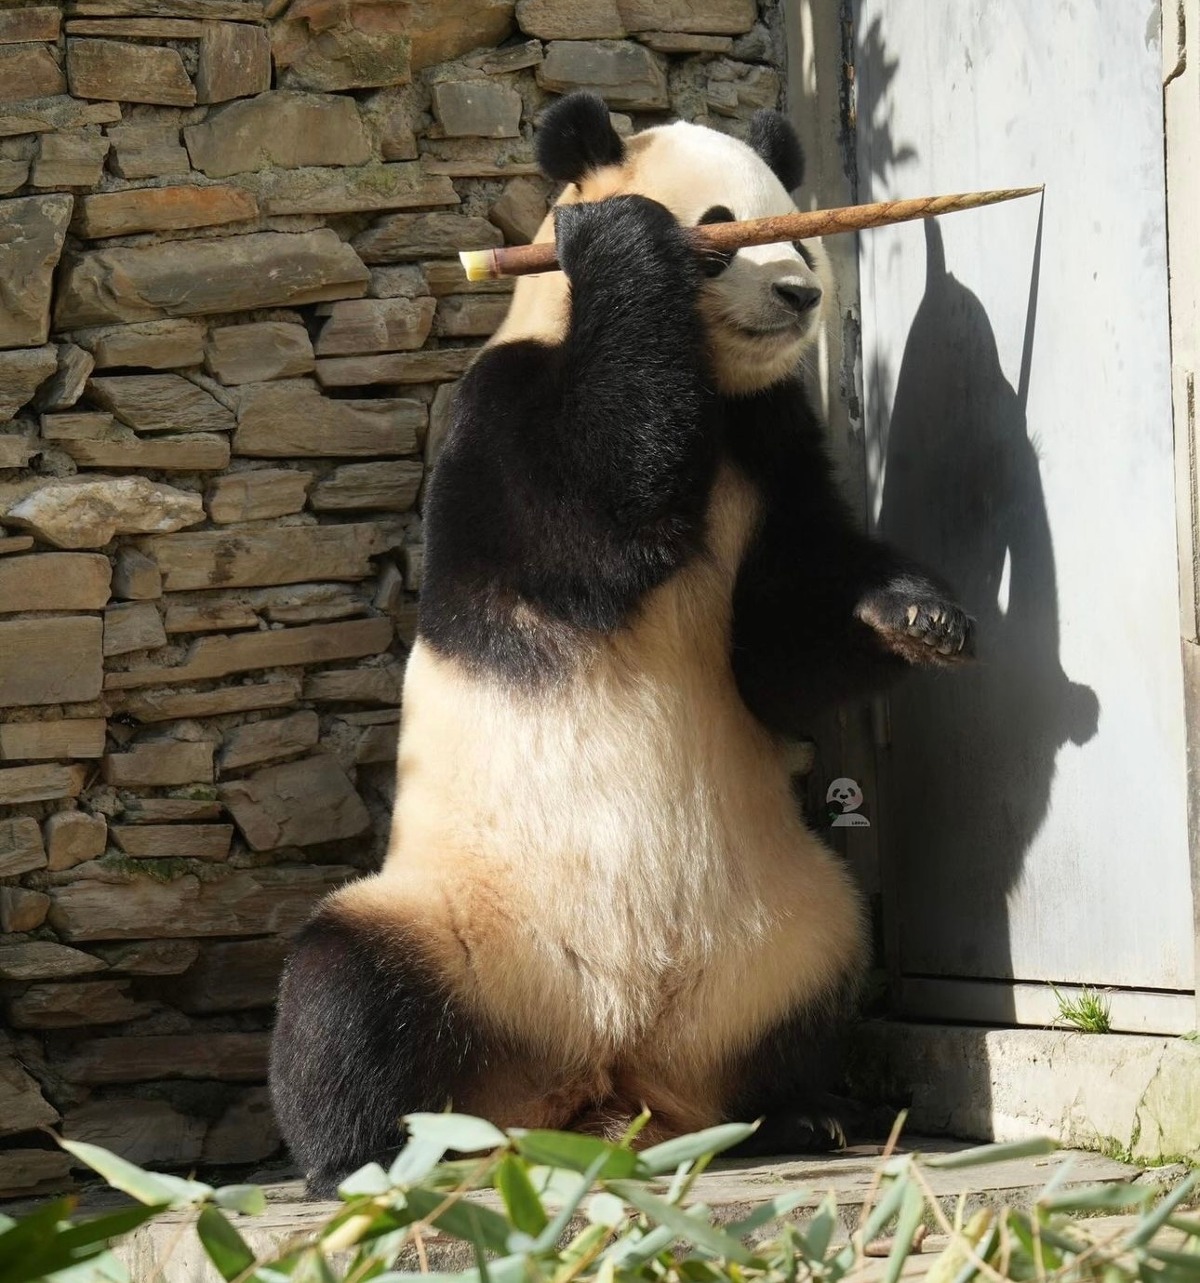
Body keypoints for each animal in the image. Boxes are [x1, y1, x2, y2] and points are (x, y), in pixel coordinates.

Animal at [266, 94, 970, 1195]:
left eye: (801, 227)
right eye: (724, 229)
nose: (802, 292)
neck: (714, 388)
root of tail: (601, 1081)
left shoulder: (772, 437)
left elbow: (775, 651)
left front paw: (913, 617)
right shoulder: (498, 407)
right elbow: (584, 522)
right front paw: (623, 238)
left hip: (784, 928)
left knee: (814, 985)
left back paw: (800, 1112)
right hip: (464, 926)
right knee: (345, 993)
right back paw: (366, 1156)